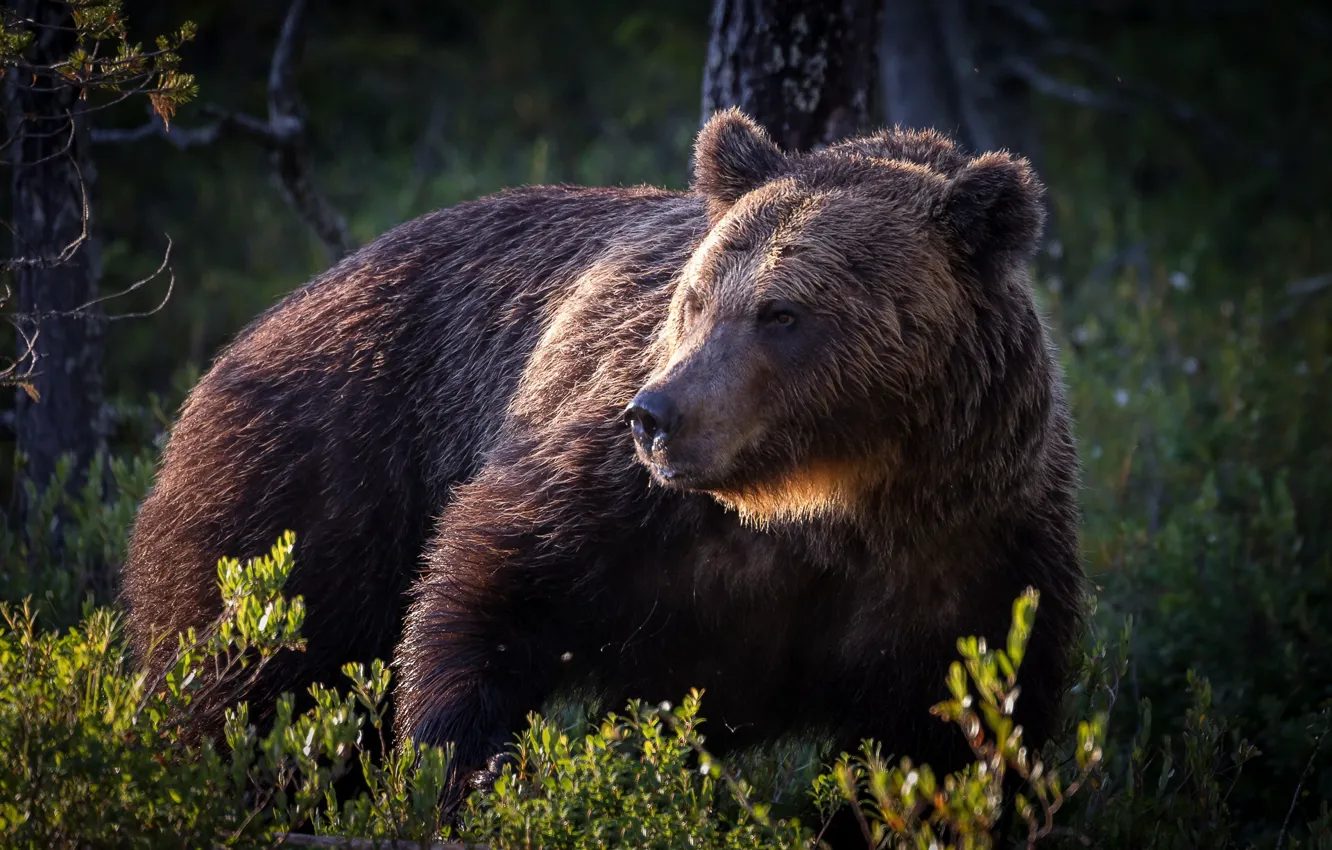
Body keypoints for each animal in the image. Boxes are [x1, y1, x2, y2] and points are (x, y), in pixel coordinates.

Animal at [124, 108, 1084, 839]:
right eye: (696, 297)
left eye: (782, 312)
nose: (657, 415)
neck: (827, 501)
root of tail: (260, 323)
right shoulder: (616, 498)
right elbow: (486, 592)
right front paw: (472, 774)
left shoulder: (974, 552)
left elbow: (959, 743)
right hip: (319, 475)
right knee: (255, 673)